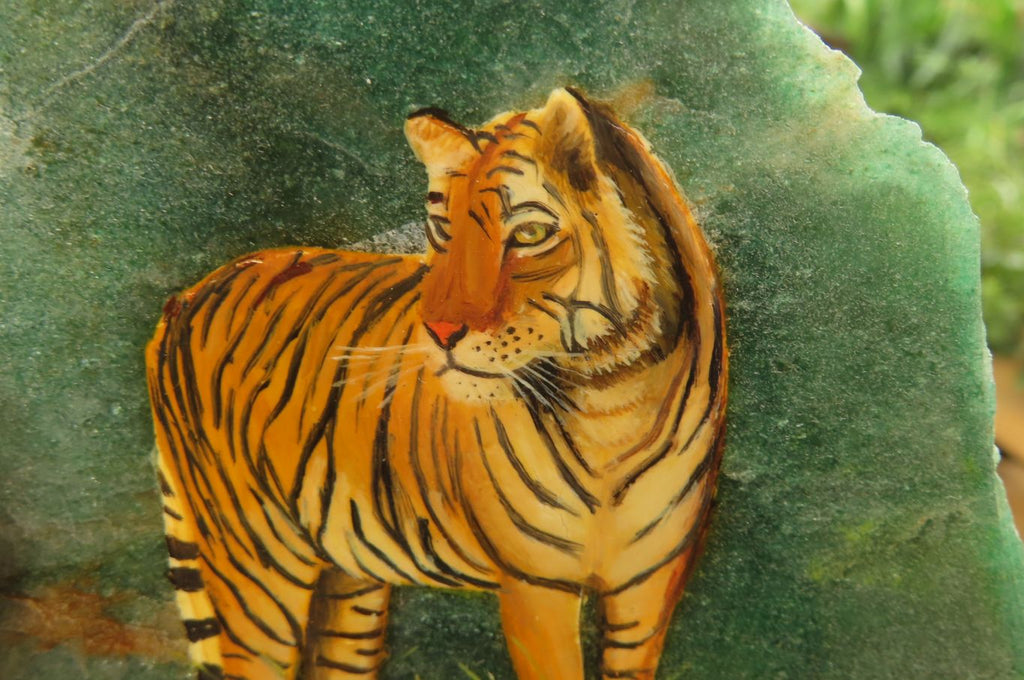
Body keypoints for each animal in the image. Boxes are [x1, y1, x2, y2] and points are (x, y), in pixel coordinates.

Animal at [146, 87, 727, 680]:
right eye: (442, 231)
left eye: (529, 235)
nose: (440, 331)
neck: (617, 396)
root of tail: (186, 296)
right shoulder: (536, 586)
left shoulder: (650, 583)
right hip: (256, 567)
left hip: (348, 576)